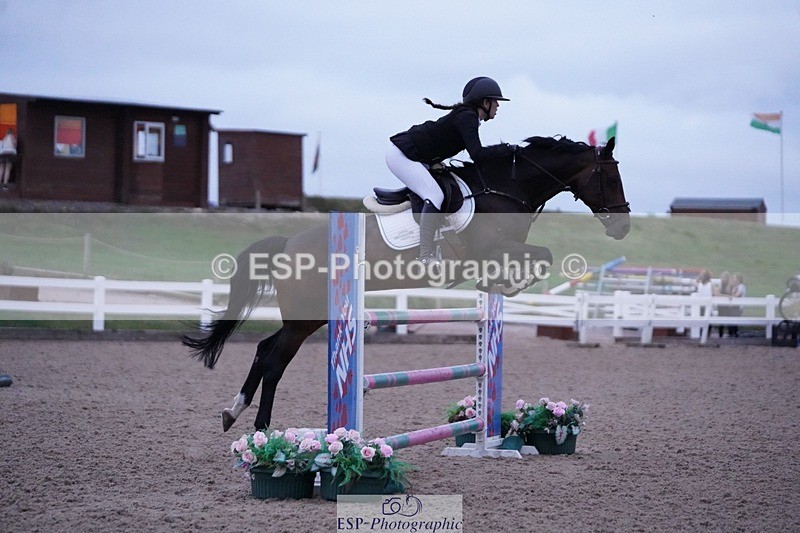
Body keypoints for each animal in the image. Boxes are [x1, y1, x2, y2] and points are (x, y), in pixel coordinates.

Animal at [183, 135, 631, 431]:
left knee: (263, 350)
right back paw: (260, 428)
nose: (623, 227)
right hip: (305, 319)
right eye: (611, 178)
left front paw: (502, 286)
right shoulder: (493, 247)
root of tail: (289, 243)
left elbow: (540, 258)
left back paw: (233, 411)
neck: (504, 188)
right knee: (275, 360)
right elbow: (541, 256)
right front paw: (507, 284)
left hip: (310, 316)